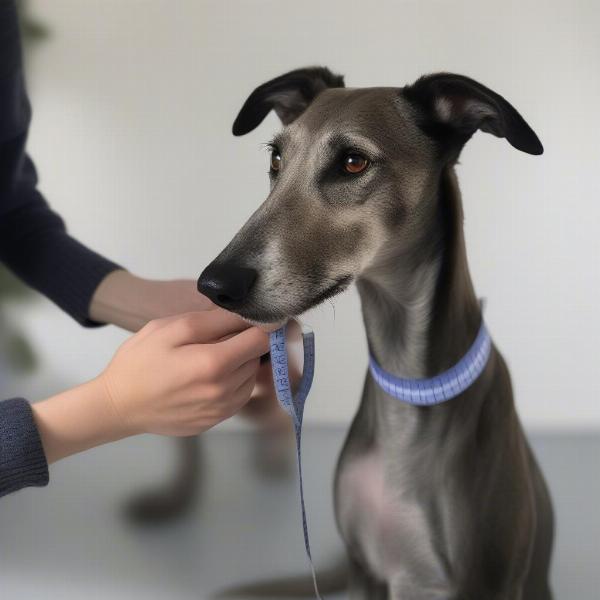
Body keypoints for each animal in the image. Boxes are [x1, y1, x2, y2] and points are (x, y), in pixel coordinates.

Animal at [197, 67, 552, 600]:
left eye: (353, 162)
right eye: (277, 158)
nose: (214, 285)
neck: (410, 391)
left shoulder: (482, 582)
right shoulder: (364, 569)